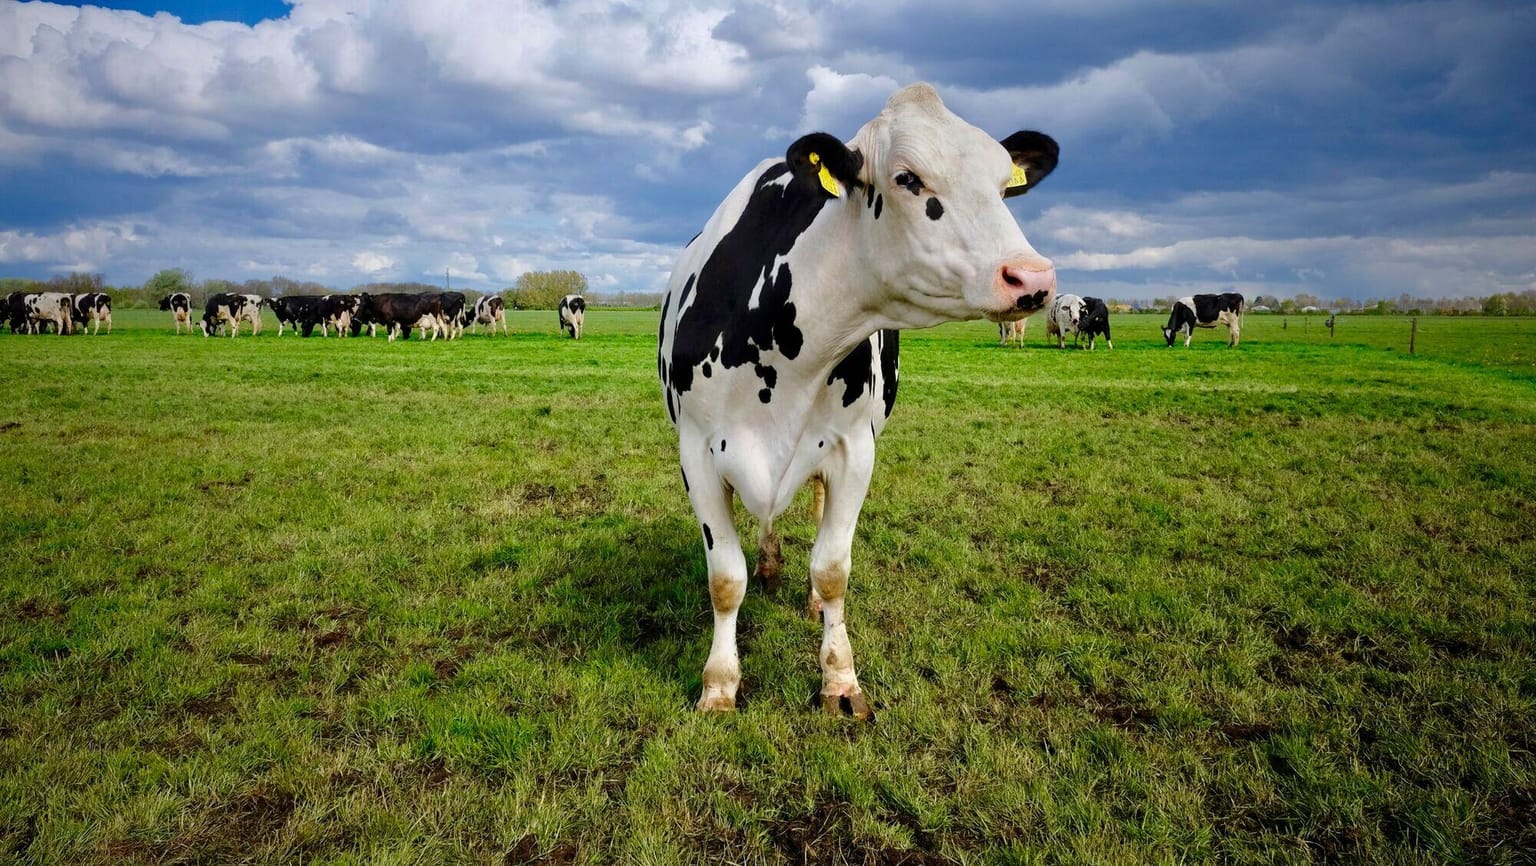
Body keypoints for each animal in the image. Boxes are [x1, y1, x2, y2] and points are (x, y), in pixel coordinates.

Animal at [657, 83, 1058, 717]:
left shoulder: (853, 452)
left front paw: (840, 681)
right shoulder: (696, 453)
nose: (1032, 278)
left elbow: (832, 570)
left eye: (1003, 184)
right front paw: (719, 685)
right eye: (907, 178)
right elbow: (725, 578)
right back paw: (769, 563)